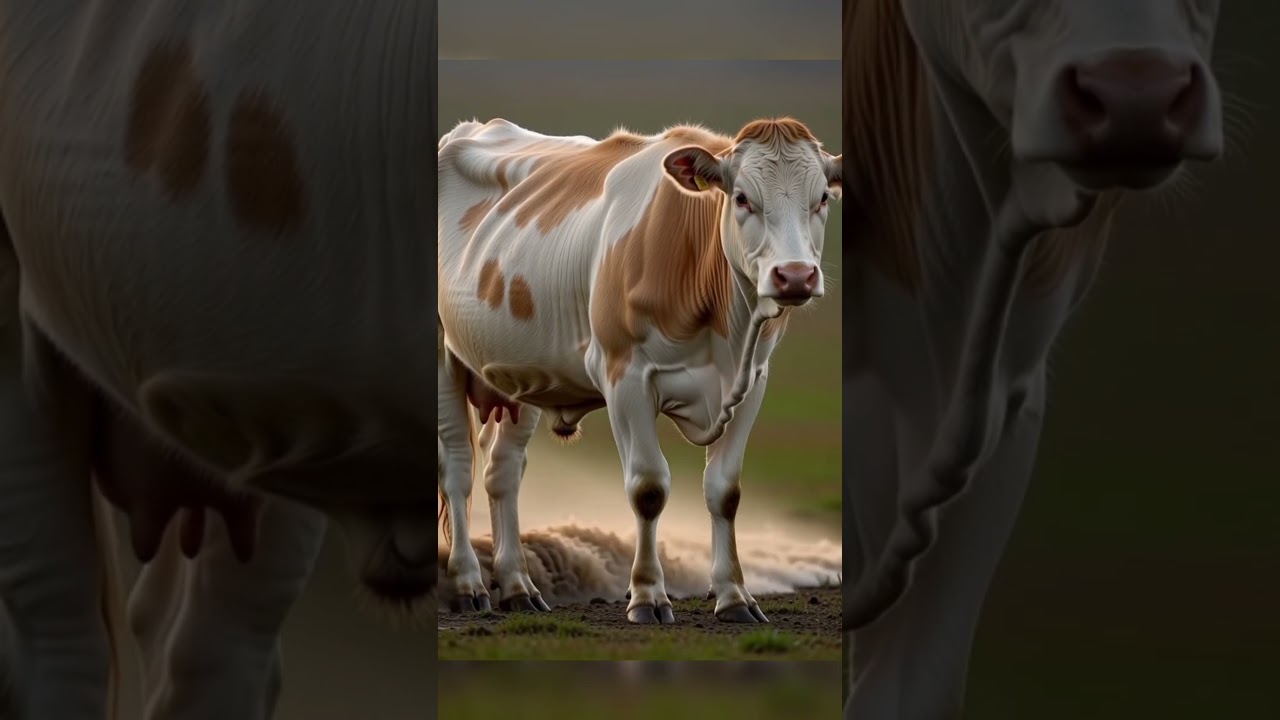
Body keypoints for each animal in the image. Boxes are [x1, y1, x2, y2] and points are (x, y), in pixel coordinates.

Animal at [437, 117, 842, 624]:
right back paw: (468, 583)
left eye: (822, 198)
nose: (795, 276)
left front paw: (734, 596)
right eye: (742, 197)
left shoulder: (752, 382)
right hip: (444, 358)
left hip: (521, 375)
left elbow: (725, 492)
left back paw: (517, 586)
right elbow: (648, 488)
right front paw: (648, 596)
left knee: (502, 472)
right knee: (457, 468)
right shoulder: (625, 377)